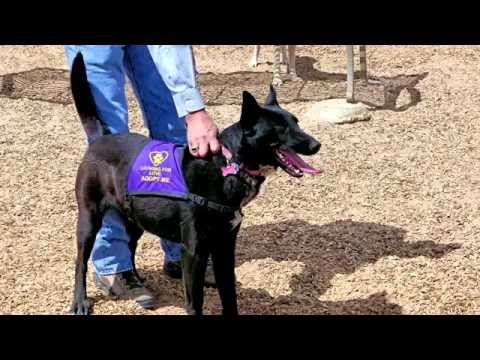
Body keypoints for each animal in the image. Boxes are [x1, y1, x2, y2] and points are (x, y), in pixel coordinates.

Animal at [68, 53, 322, 316]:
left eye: (297, 122)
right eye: (280, 129)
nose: (316, 145)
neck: (229, 164)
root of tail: (100, 138)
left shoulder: (224, 247)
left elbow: (229, 294)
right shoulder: (193, 252)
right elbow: (195, 302)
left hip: (135, 216)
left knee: (130, 245)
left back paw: (137, 281)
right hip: (89, 219)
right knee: (80, 263)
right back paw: (80, 301)